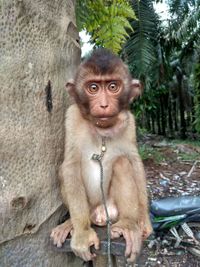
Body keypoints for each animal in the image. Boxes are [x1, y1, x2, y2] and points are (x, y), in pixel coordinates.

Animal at [50, 48, 152, 264]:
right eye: (93, 88)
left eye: (113, 86)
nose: (104, 105)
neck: (102, 130)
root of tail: (99, 215)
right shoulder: (71, 117)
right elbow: (70, 165)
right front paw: (81, 234)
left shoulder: (130, 121)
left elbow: (134, 160)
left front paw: (144, 221)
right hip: (89, 209)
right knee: (65, 170)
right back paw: (70, 223)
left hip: (112, 210)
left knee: (123, 162)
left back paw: (128, 225)